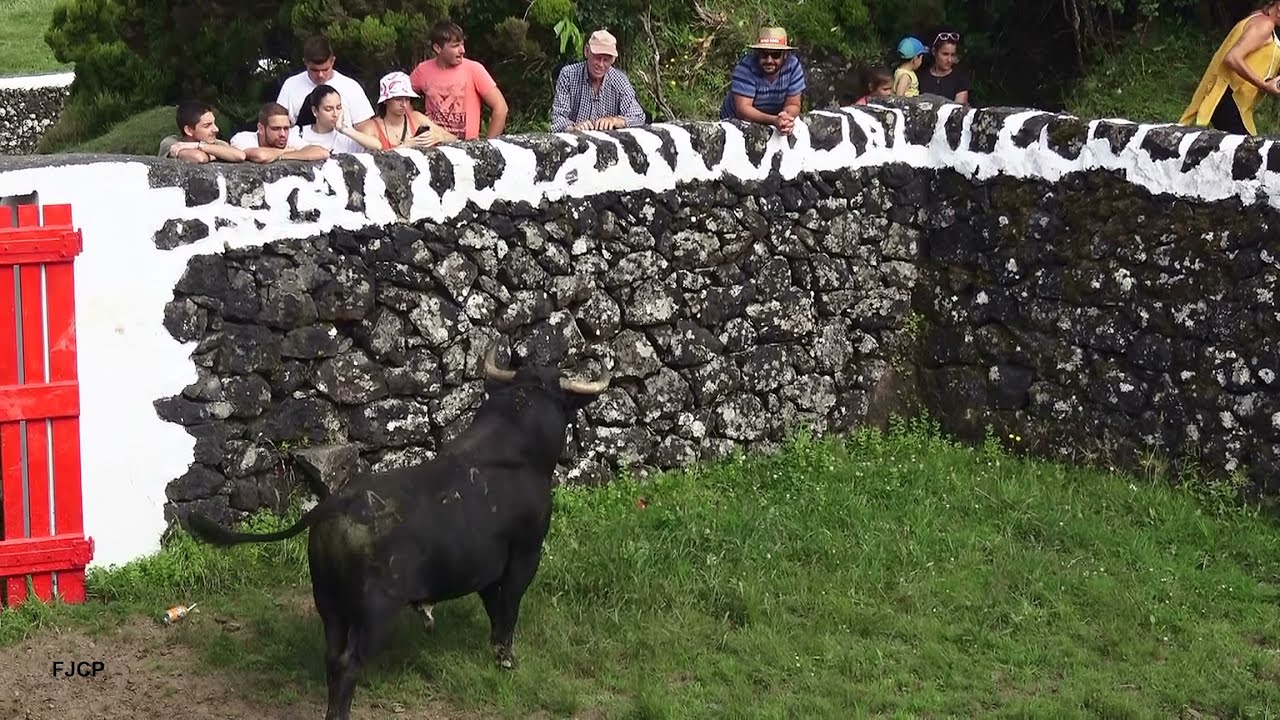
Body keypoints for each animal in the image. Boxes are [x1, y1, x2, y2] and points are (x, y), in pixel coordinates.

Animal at [181, 345, 609, 720]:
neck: (519, 443)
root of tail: (339, 503)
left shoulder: (485, 569)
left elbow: (494, 608)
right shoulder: (526, 552)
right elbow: (509, 608)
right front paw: (506, 658)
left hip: (329, 604)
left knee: (332, 656)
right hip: (375, 612)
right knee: (349, 663)